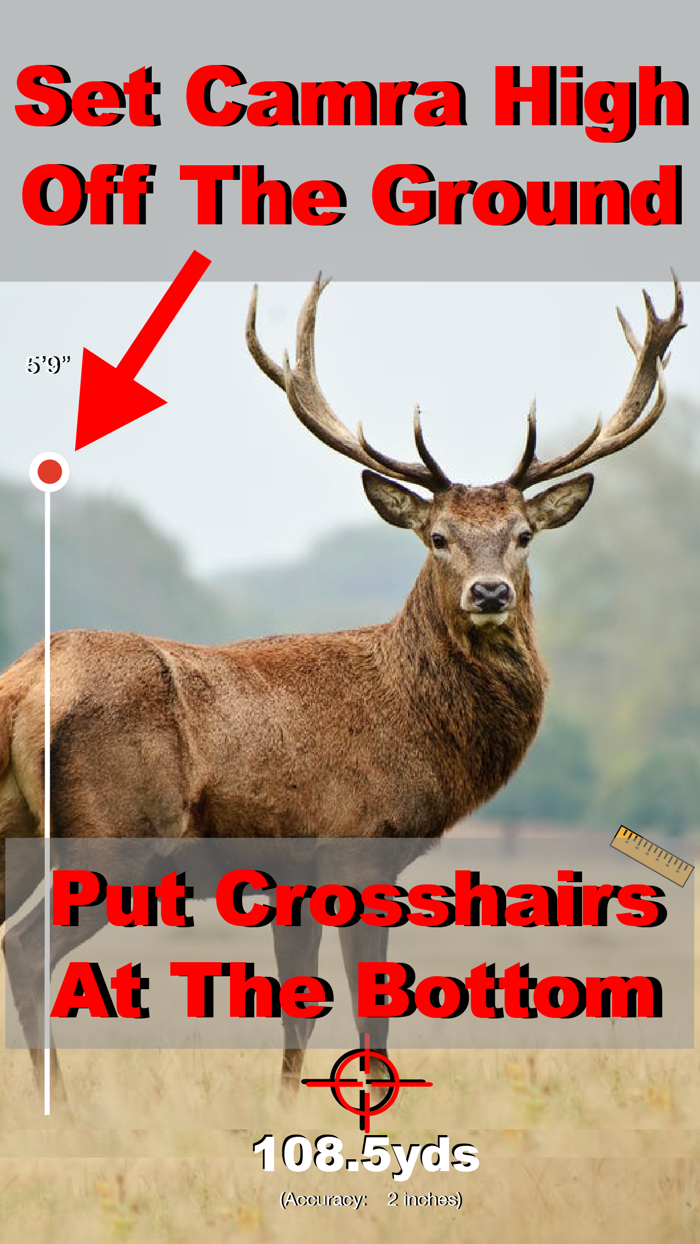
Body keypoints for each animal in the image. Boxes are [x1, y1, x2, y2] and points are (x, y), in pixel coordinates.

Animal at [0, 273, 685, 1105]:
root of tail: (23, 685)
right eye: (438, 537)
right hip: (114, 836)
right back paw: (60, 1105)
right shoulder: (361, 851)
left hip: (18, 830)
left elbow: (296, 1019)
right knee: (26, 946)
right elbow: (368, 1014)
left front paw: (287, 1109)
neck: (418, 728)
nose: (490, 592)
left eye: (523, 535)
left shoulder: (293, 874)